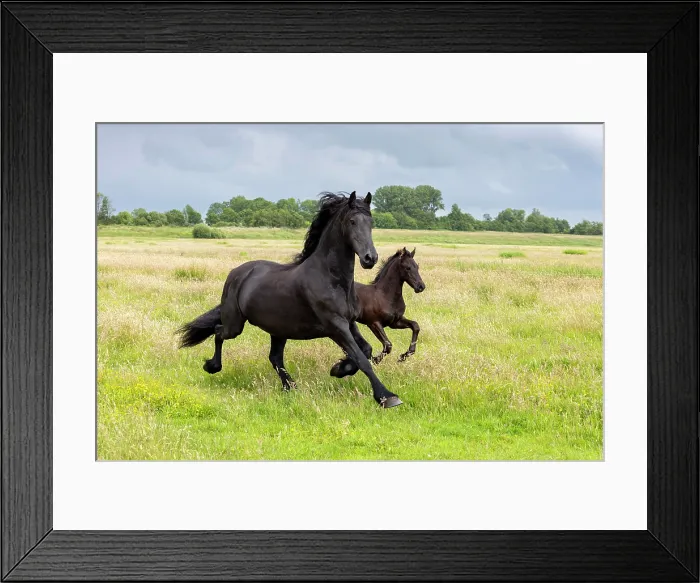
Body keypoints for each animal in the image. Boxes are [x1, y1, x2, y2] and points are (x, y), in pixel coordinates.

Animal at [175, 191, 404, 409]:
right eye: (352, 221)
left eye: (371, 222)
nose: (370, 258)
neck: (330, 278)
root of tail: (237, 273)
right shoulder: (335, 326)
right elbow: (361, 358)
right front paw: (387, 397)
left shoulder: (349, 322)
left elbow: (365, 350)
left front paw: (339, 368)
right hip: (235, 325)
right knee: (218, 332)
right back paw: (212, 366)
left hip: (278, 329)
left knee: (274, 357)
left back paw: (290, 387)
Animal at [329, 247, 425, 379]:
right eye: (407, 268)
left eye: (417, 266)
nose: (421, 287)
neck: (385, 295)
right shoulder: (374, 323)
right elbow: (388, 345)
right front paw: (374, 360)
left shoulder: (395, 322)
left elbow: (415, 326)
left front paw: (404, 355)